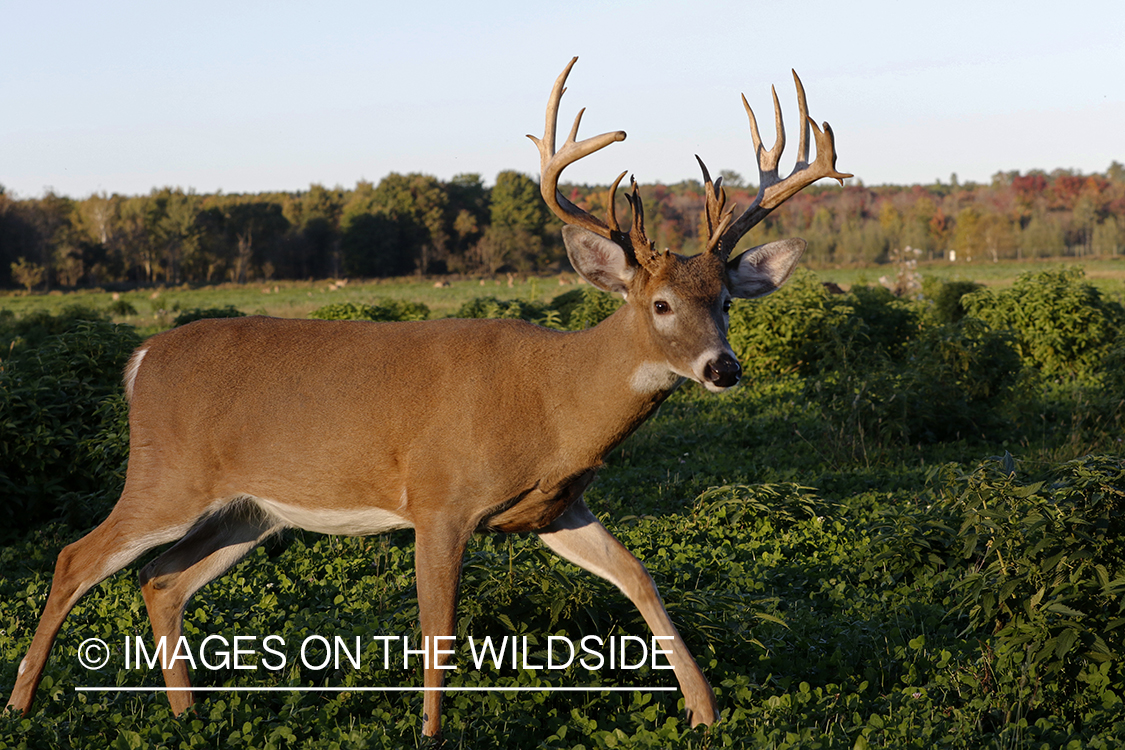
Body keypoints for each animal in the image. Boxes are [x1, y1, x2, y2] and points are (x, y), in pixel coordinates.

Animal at [4, 58, 846, 737]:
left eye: (726, 301)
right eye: (662, 304)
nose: (722, 368)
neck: (557, 399)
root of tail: (140, 358)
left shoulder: (554, 508)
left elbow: (641, 577)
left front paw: (704, 712)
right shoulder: (440, 498)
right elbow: (438, 629)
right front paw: (430, 732)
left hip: (247, 511)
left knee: (161, 580)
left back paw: (185, 715)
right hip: (165, 475)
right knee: (75, 558)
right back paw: (21, 704)